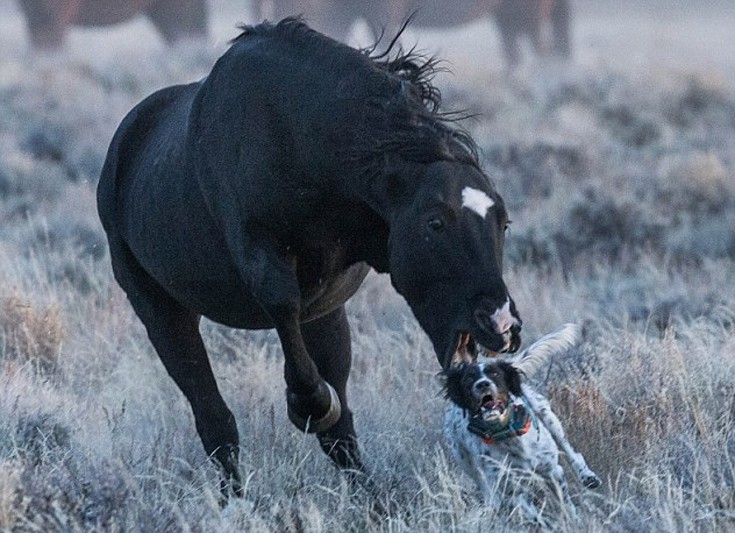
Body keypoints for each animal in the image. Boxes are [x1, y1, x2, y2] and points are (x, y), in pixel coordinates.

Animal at [98, 18, 524, 496]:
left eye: (503, 222)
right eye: (435, 223)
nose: (502, 324)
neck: (298, 141)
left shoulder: (335, 287)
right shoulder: (262, 257)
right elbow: (285, 313)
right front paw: (308, 404)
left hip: (326, 317)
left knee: (335, 436)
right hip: (162, 312)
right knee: (214, 420)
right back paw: (237, 498)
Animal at [440, 322, 600, 512]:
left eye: (495, 374)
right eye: (468, 379)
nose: (482, 384)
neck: (509, 437)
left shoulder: (553, 472)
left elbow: (566, 506)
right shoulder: (514, 491)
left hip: (548, 417)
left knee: (571, 451)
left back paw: (587, 476)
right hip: (465, 460)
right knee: (486, 489)